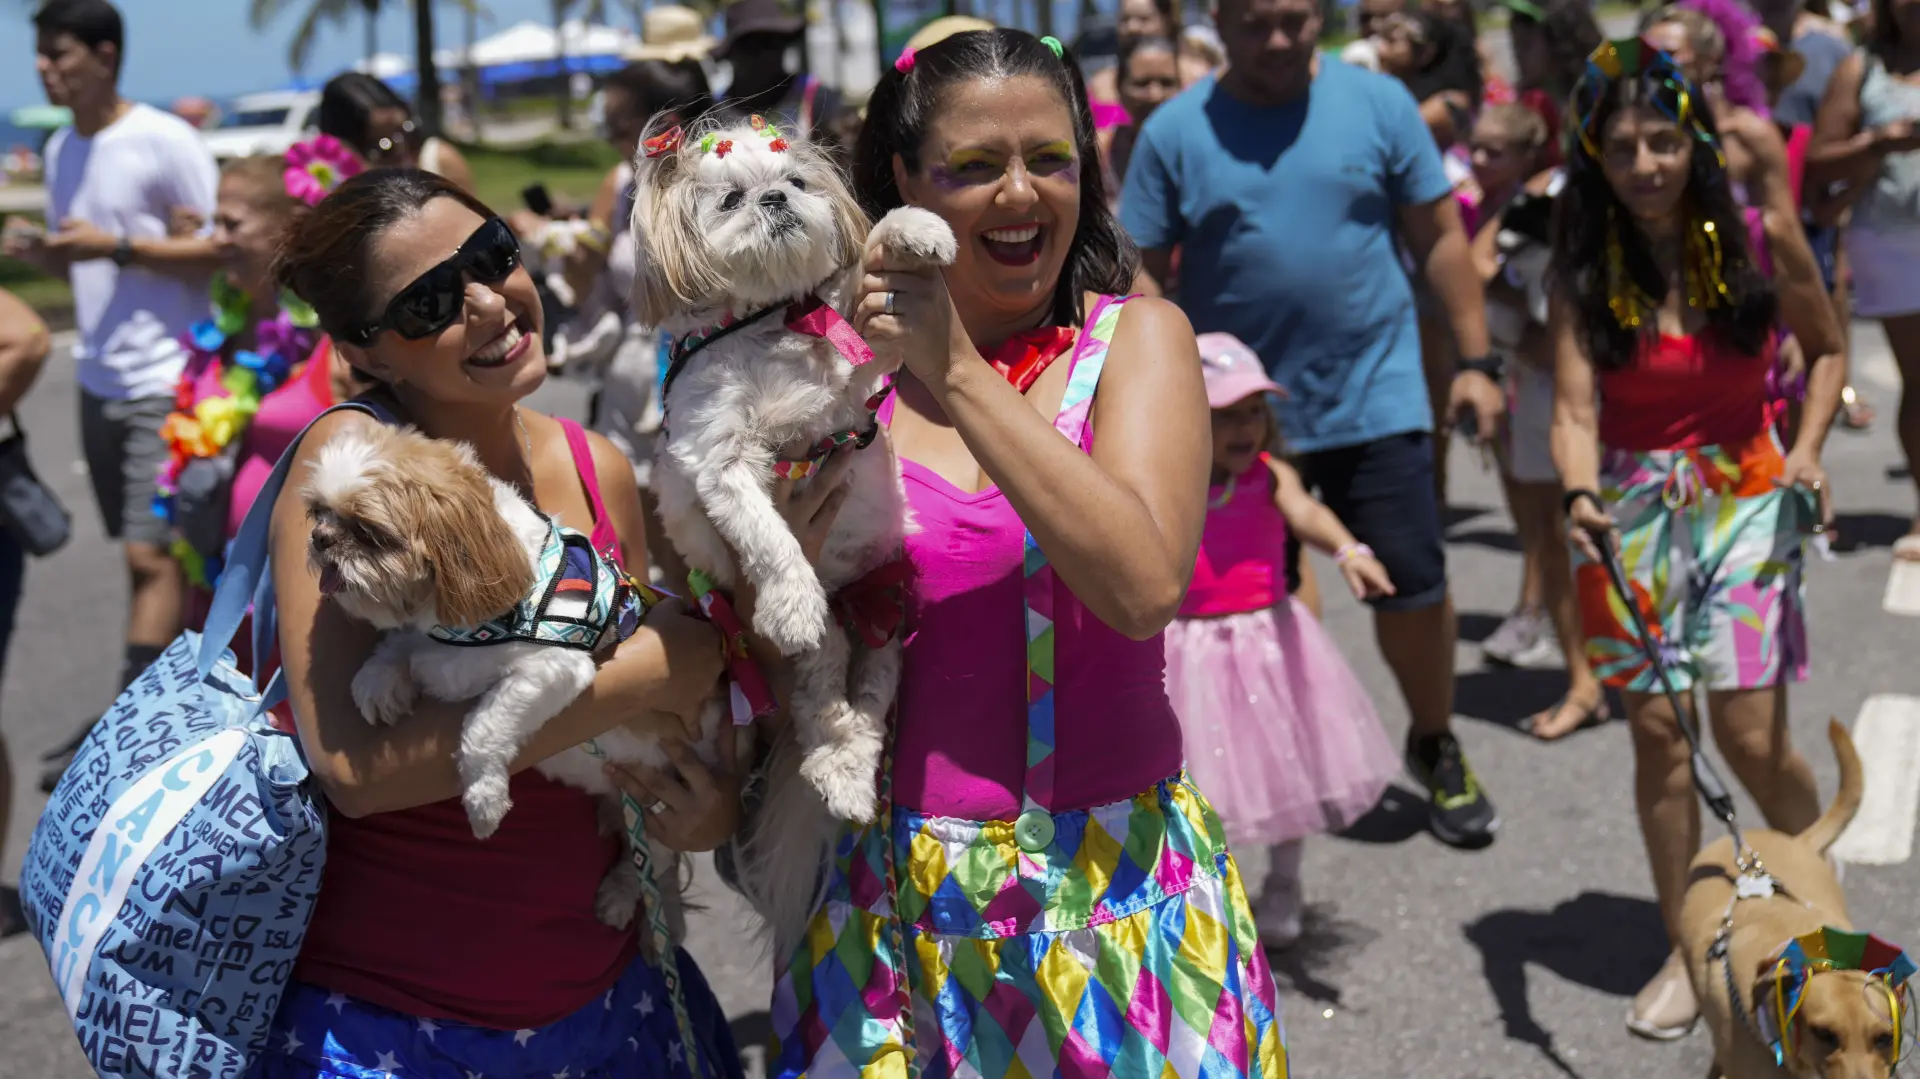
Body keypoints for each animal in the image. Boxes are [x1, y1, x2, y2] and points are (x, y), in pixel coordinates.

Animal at [295, 422, 695, 933]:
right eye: (317, 512)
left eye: (367, 530)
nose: (320, 538)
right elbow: (401, 646)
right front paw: (380, 680)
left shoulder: (556, 667)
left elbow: (483, 727)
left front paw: (483, 799)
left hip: (662, 809)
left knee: (650, 860)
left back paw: (622, 894)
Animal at [633, 113, 956, 944]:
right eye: (731, 198)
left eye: (800, 181)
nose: (775, 198)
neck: (768, 325)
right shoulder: (721, 458)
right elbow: (768, 537)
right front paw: (790, 598)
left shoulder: (853, 381)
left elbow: (873, 279)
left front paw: (918, 230)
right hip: (812, 650)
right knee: (821, 695)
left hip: (883, 623)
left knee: (863, 706)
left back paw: (848, 773)